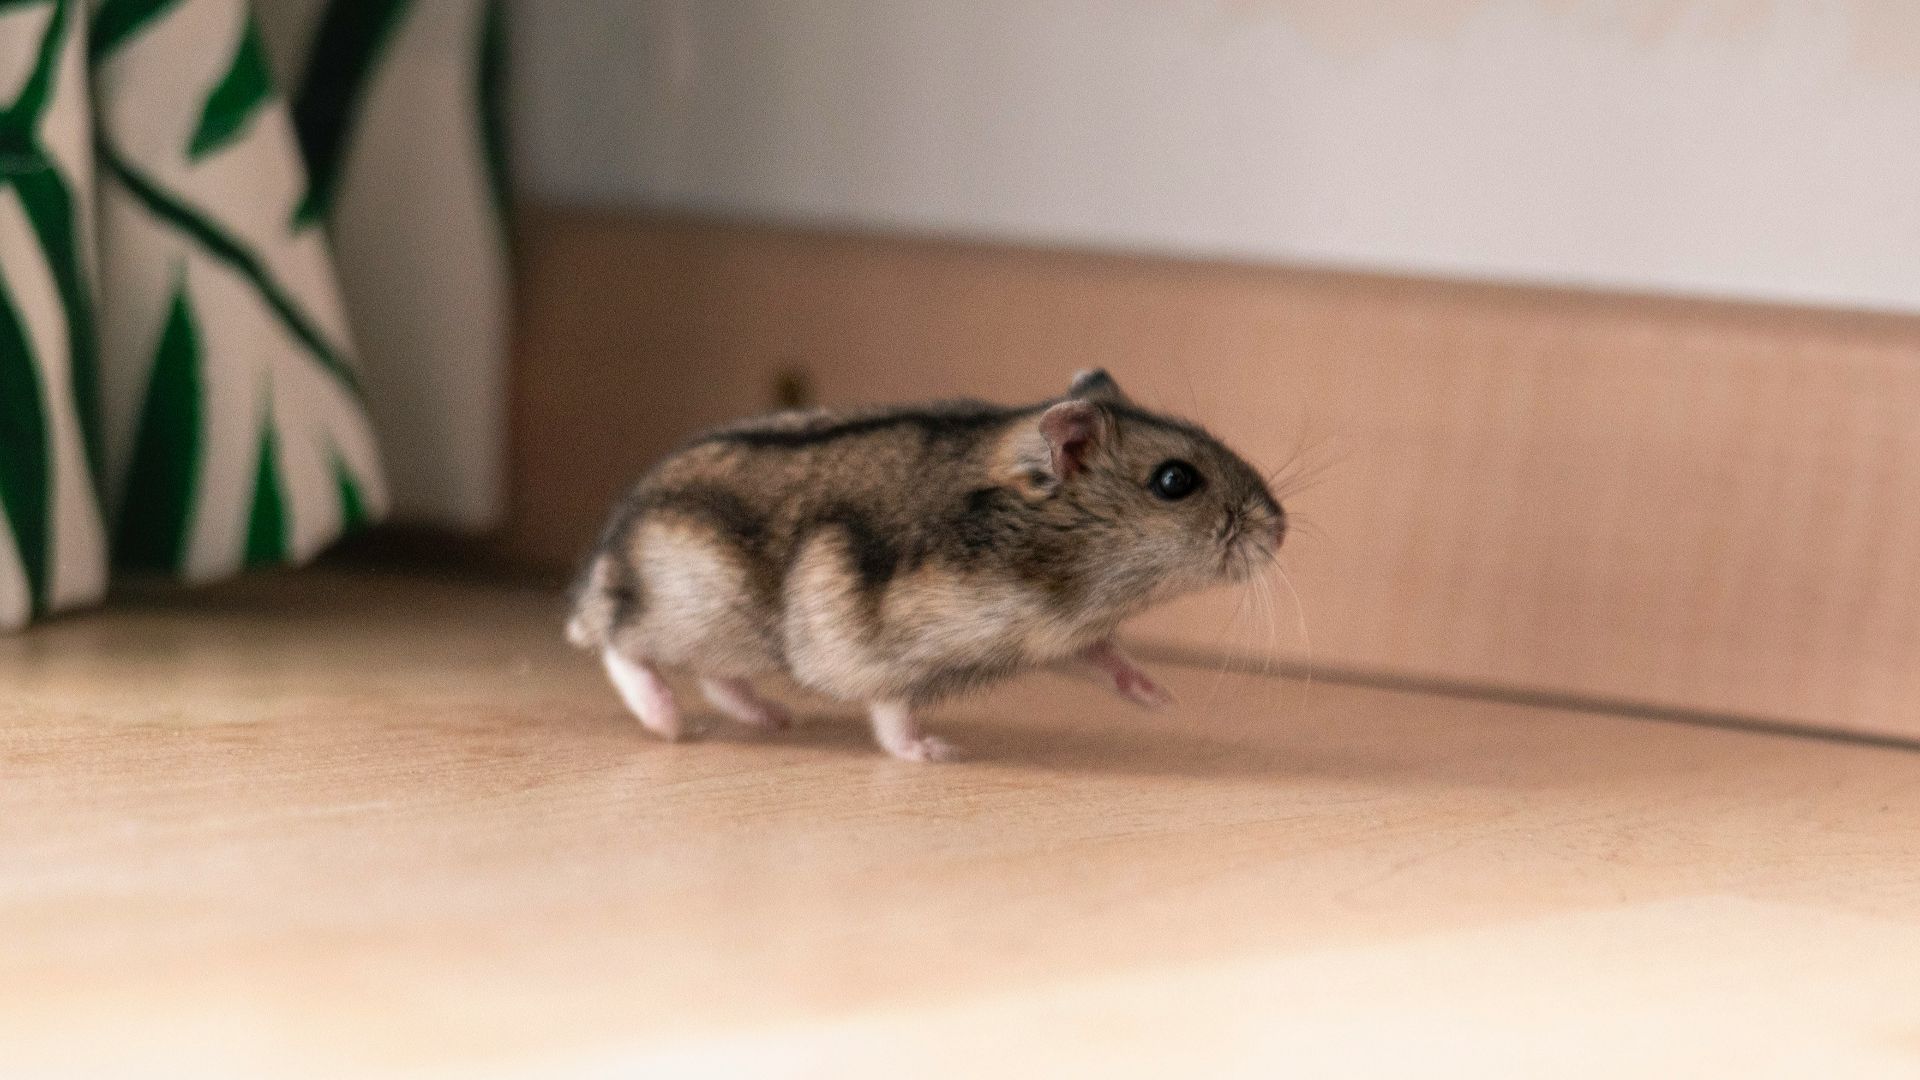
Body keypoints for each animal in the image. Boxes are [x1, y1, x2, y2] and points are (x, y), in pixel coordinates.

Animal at [567, 369, 1285, 761]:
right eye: (1175, 480)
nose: (1278, 529)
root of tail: (605, 559)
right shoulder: (881, 648)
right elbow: (892, 712)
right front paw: (938, 754)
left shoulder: (1059, 638)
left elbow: (1104, 658)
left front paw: (1162, 700)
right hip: (689, 611)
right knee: (618, 646)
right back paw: (669, 722)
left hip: (731, 636)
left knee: (718, 679)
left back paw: (773, 717)